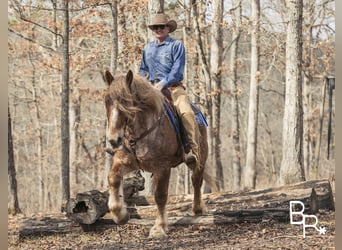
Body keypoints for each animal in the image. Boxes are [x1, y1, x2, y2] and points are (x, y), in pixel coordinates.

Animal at [102, 69, 216, 237]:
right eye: (107, 101)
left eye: (127, 102)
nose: (114, 140)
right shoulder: (125, 162)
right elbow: (113, 178)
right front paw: (120, 214)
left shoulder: (162, 167)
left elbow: (160, 196)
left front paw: (159, 228)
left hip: (200, 158)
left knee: (196, 180)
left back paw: (197, 208)